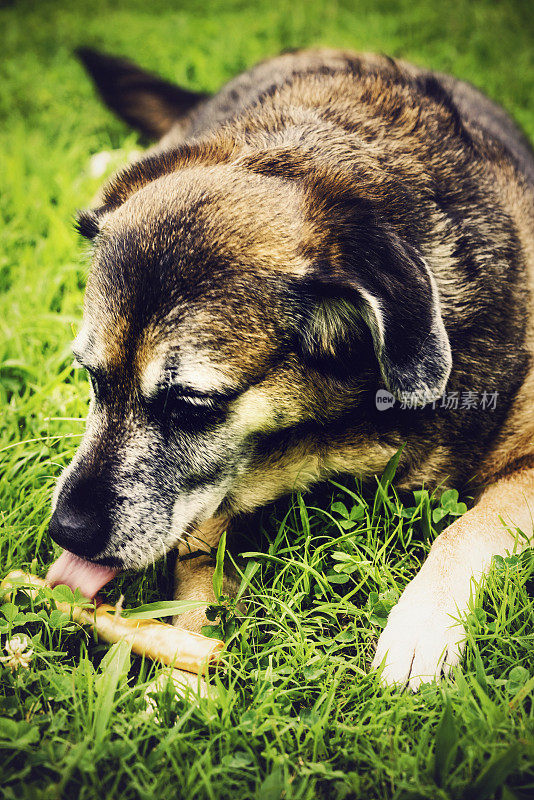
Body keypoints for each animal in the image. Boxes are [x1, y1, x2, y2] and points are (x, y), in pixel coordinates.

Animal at [47, 47, 534, 692]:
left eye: (190, 404)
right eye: (93, 378)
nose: (65, 532)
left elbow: (469, 527)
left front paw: (422, 626)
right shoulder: (209, 509)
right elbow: (199, 582)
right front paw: (181, 677)